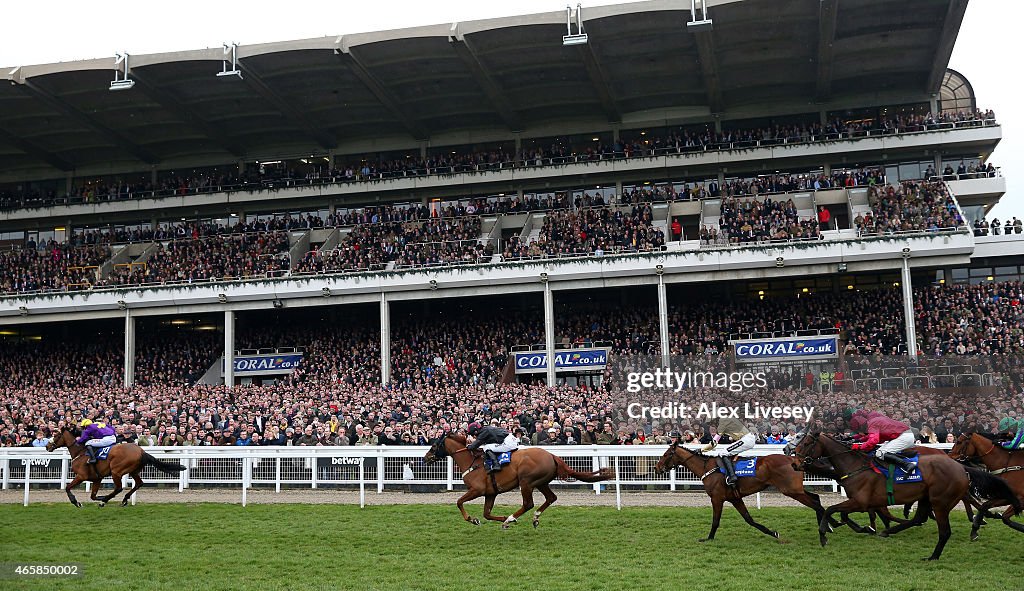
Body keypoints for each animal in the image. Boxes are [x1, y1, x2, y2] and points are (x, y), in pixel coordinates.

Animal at [46, 426, 185, 503]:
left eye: (56, 435)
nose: (47, 446)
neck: (80, 452)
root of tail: (142, 451)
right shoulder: (97, 478)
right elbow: (93, 496)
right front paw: (101, 497)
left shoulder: (81, 476)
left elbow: (68, 488)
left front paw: (76, 502)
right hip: (133, 470)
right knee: (139, 483)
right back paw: (123, 499)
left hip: (116, 471)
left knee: (119, 488)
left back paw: (106, 500)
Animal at [421, 430, 610, 528]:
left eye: (434, 445)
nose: (425, 458)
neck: (472, 461)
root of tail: (552, 455)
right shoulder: (491, 493)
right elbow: (487, 514)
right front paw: (499, 517)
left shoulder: (477, 490)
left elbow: (459, 502)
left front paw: (473, 520)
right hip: (541, 482)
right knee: (551, 498)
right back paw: (533, 518)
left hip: (526, 482)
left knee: (528, 504)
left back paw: (511, 519)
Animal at [655, 442, 839, 540]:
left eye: (666, 454)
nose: (657, 468)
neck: (707, 468)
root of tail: (795, 459)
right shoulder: (735, 498)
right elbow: (749, 519)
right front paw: (772, 532)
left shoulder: (717, 498)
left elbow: (715, 521)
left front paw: (708, 538)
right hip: (795, 489)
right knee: (816, 498)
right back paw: (829, 526)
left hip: (792, 490)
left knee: (816, 503)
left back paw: (832, 524)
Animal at [786, 428, 1011, 557]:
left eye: (806, 443)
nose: (794, 462)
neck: (855, 466)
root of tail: (959, 466)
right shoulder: (863, 503)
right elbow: (841, 514)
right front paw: (866, 528)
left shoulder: (860, 501)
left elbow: (830, 510)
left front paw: (824, 535)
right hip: (927, 498)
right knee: (920, 518)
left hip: (940, 501)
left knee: (943, 527)